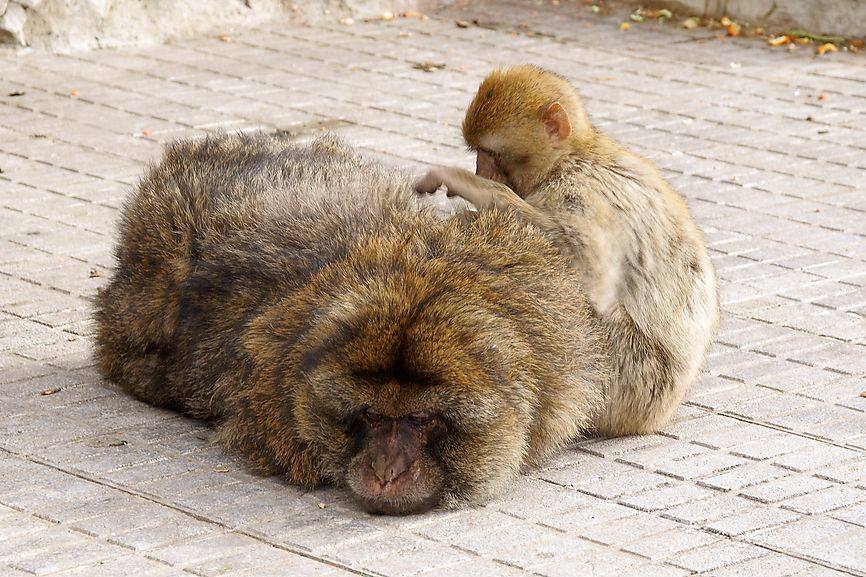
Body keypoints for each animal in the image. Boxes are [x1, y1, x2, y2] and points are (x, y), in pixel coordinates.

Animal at [415, 65, 720, 437]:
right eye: (478, 154)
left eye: (490, 154)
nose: (480, 171)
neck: (571, 157)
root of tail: (659, 415)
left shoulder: (580, 191)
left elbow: (589, 273)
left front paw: (471, 188)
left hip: (629, 377)